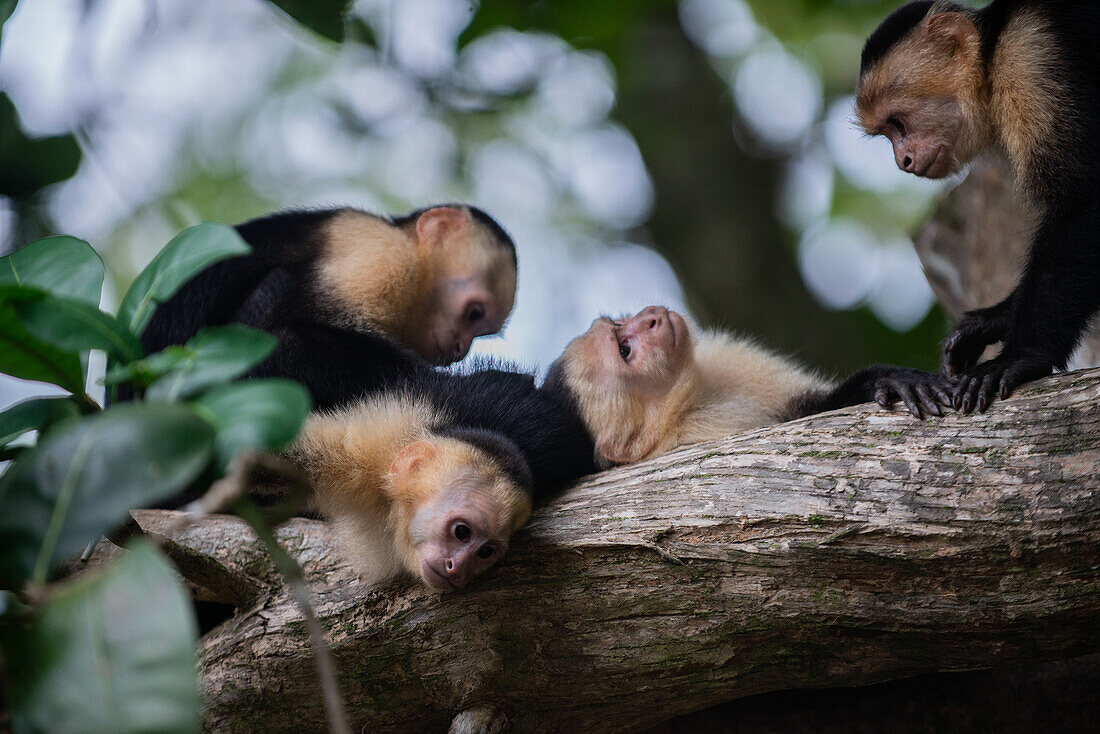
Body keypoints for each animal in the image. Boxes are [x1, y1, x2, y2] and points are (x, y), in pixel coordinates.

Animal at [543, 308, 954, 468]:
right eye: (624, 350)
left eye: (618, 324)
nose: (652, 316)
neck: (691, 397)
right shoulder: (691, 433)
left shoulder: (729, 359)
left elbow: (807, 407)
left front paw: (880, 381)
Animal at [853, 0, 1100, 413]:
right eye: (887, 132)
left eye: (897, 122)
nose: (902, 161)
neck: (992, 56)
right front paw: (990, 321)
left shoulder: (1030, 57)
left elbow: (1082, 201)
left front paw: (1021, 357)